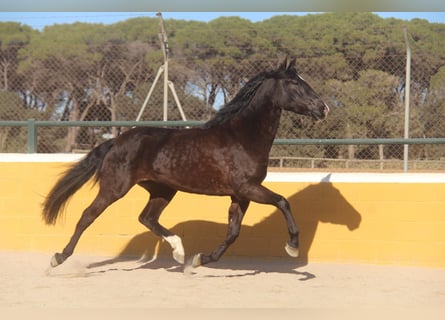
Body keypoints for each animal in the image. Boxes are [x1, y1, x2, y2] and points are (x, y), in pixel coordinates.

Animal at [42, 55, 326, 270]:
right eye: (293, 82)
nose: (323, 109)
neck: (242, 136)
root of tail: (116, 141)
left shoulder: (241, 194)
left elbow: (233, 232)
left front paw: (201, 259)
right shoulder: (248, 188)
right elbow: (282, 202)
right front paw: (292, 247)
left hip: (163, 190)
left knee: (147, 218)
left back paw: (179, 252)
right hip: (115, 188)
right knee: (87, 216)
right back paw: (58, 258)